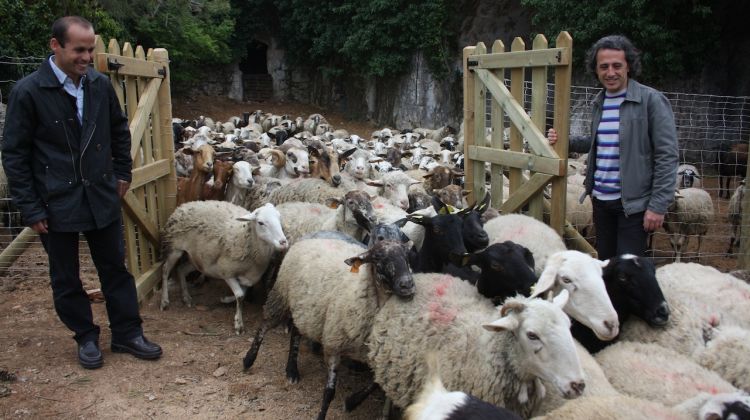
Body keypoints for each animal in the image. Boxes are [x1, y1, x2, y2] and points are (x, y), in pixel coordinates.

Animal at [161, 201, 288, 334]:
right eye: (261, 223)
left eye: (279, 218)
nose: (283, 242)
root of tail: (182, 206)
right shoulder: (226, 272)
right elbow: (240, 295)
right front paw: (239, 324)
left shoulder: (248, 278)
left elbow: (242, 293)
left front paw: (225, 299)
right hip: (175, 248)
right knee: (165, 270)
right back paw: (164, 301)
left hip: (198, 259)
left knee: (181, 269)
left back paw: (186, 297)